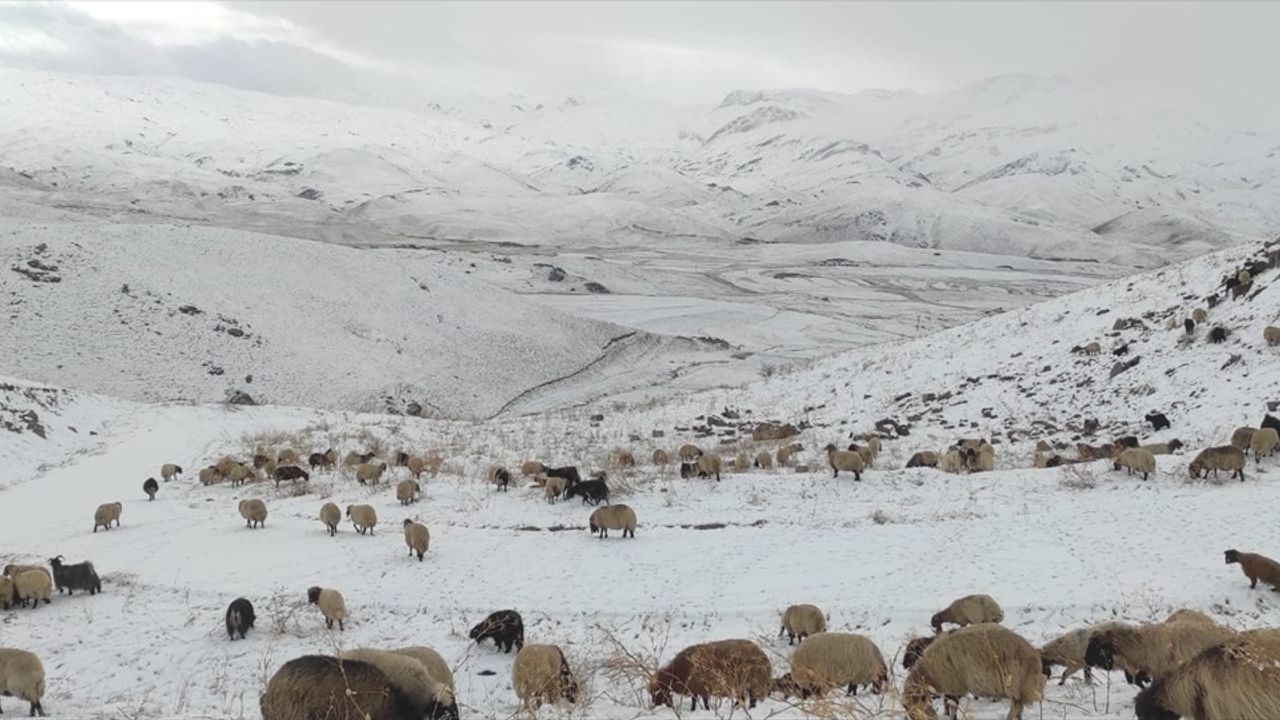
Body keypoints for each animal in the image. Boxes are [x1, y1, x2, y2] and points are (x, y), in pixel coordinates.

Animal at [901, 622, 1039, 717]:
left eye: (910, 652)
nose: (903, 665)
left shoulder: (953, 686)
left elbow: (951, 706)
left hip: (1014, 684)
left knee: (1016, 707)